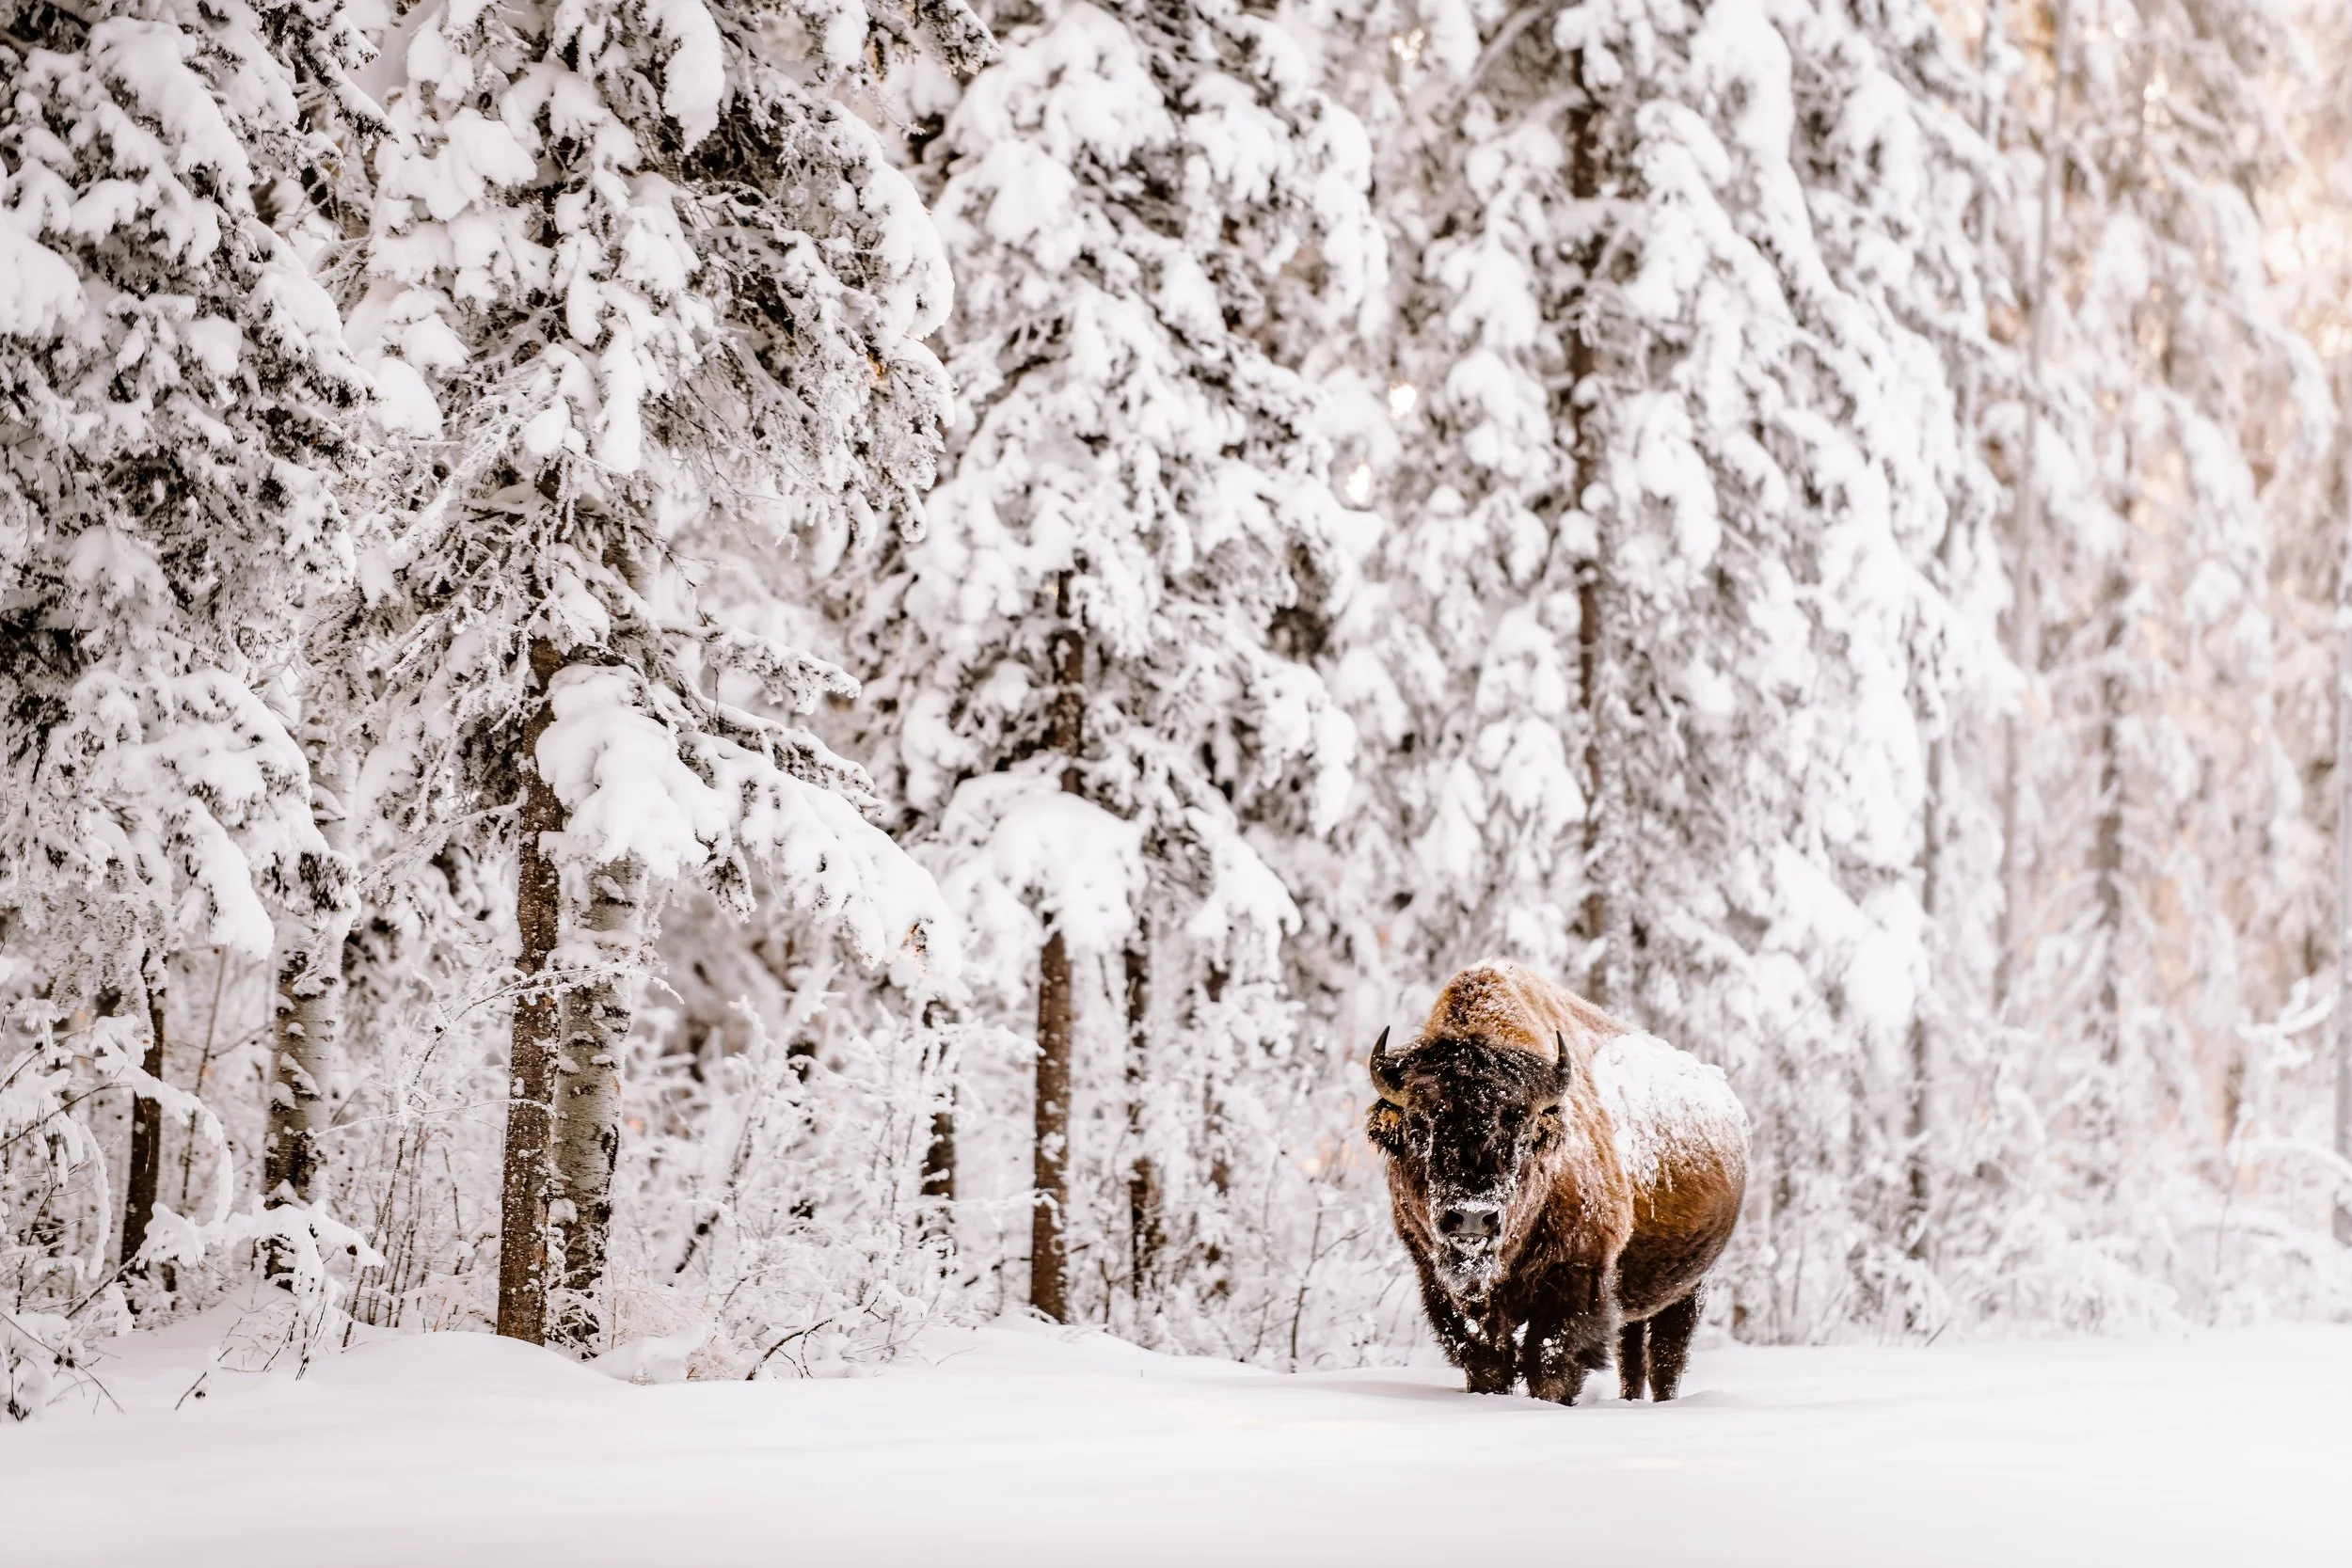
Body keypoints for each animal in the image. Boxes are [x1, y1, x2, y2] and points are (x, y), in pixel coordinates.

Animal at [1366, 961, 1748, 1403]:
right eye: (1418, 1129)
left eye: (1523, 1132)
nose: (1472, 1217)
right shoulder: (1439, 1284)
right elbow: (1486, 1362)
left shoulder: (1575, 1278)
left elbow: (1550, 1361)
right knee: (1633, 1355)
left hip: (1692, 1288)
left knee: (1666, 1359)